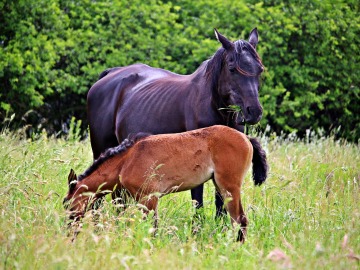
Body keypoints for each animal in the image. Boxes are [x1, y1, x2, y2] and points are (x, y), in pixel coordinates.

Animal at [64, 125, 268, 242]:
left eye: (67, 204)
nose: (69, 232)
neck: (127, 160)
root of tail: (246, 138)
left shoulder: (149, 198)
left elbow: (152, 227)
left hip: (229, 187)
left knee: (240, 220)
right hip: (221, 186)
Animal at [87, 28, 264, 217]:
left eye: (260, 70)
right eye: (232, 69)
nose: (254, 111)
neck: (213, 105)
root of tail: (109, 74)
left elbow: (221, 201)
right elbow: (197, 198)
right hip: (101, 149)